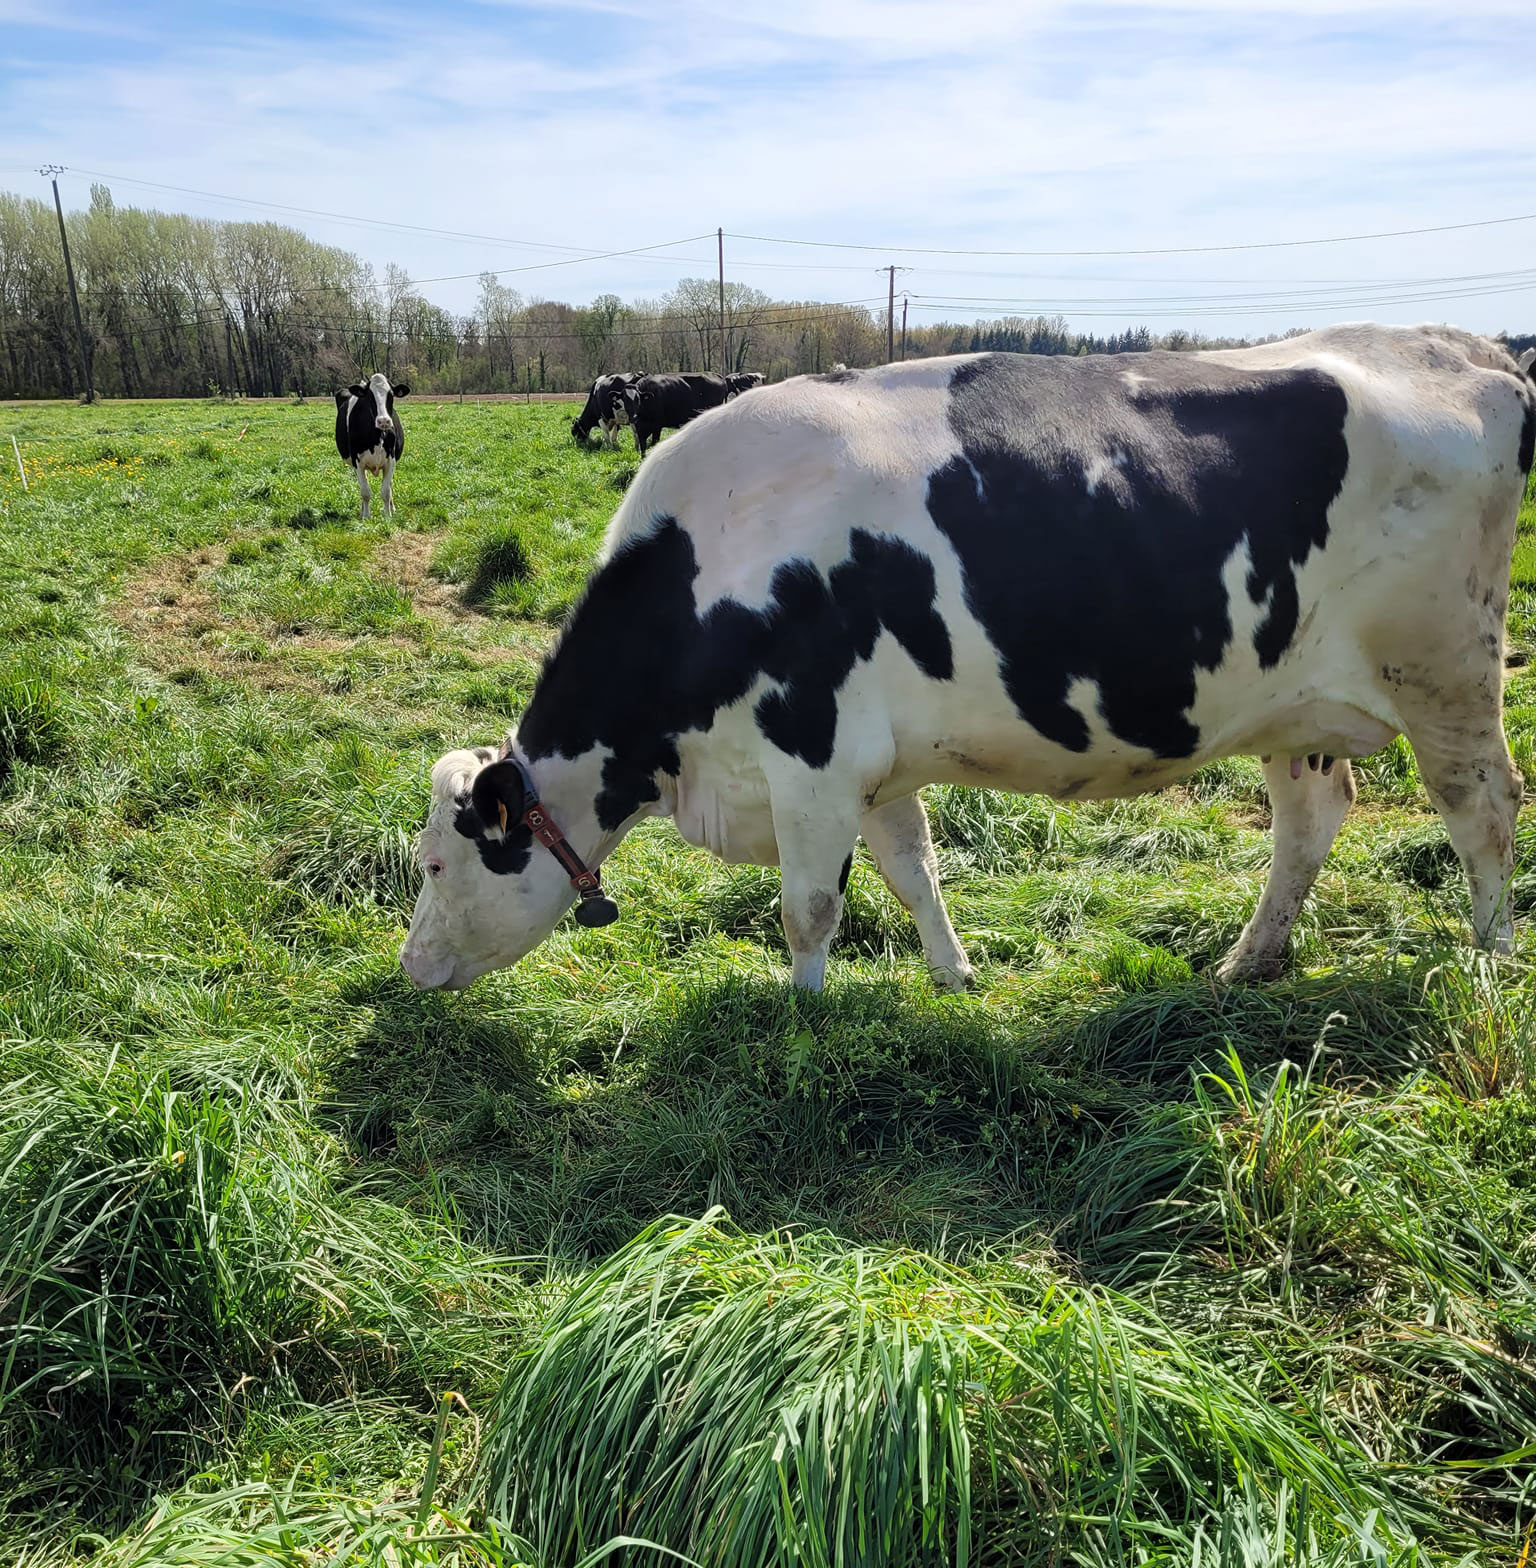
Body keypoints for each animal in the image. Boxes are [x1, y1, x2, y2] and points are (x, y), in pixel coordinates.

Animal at [332, 376, 407, 523]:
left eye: (391, 395)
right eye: (370, 396)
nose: (383, 421)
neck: (377, 436)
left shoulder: (391, 461)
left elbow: (386, 491)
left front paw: (387, 516)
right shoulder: (357, 462)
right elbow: (365, 492)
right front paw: (366, 516)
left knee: (389, 485)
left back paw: (392, 508)